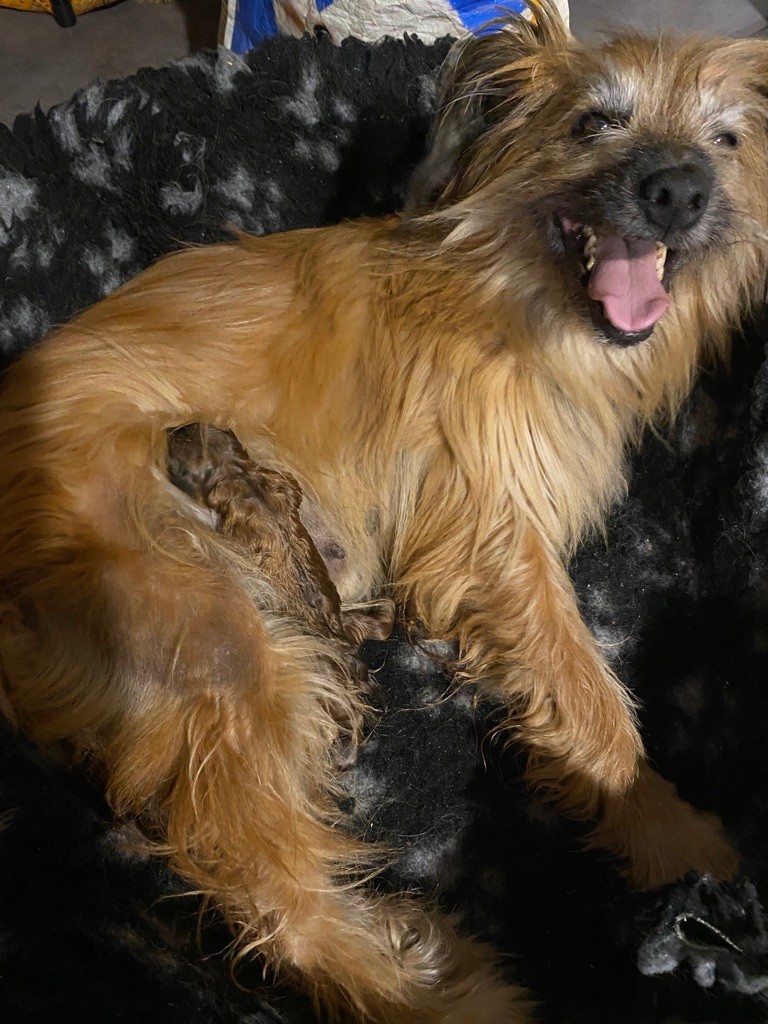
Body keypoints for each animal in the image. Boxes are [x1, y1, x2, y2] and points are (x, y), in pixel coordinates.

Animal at [1, 2, 768, 1015]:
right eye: (594, 122)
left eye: (729, 139)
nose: (679, 191)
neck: (512, 293)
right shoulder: (492, 542)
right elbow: (590, 703)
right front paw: (672, 843)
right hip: (209, 639)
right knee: (269, 891)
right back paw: (438, 992)